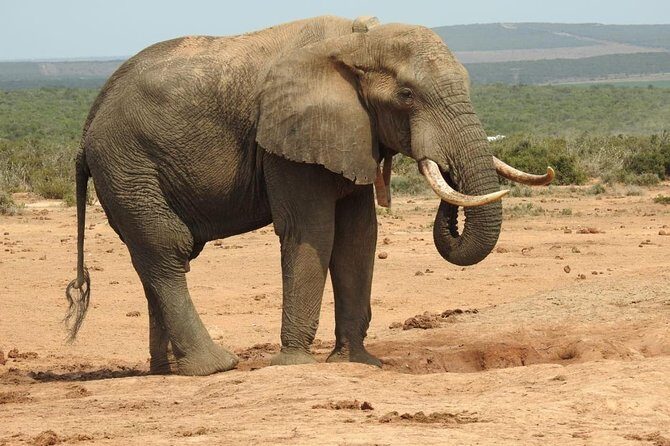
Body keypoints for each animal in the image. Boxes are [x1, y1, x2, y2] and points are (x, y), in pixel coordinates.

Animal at [65, 15, 553, 376]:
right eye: (406, 94)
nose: (446, 177)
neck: (357, 42)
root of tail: (87, 127)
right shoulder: (287, 138)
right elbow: (313, 230)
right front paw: (295, 364)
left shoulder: (351, 133)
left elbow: (359, 235)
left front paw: (358, 362)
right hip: (128, 164)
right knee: (166, 248)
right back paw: (215, 367)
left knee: (152, 257)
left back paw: (169, 370)